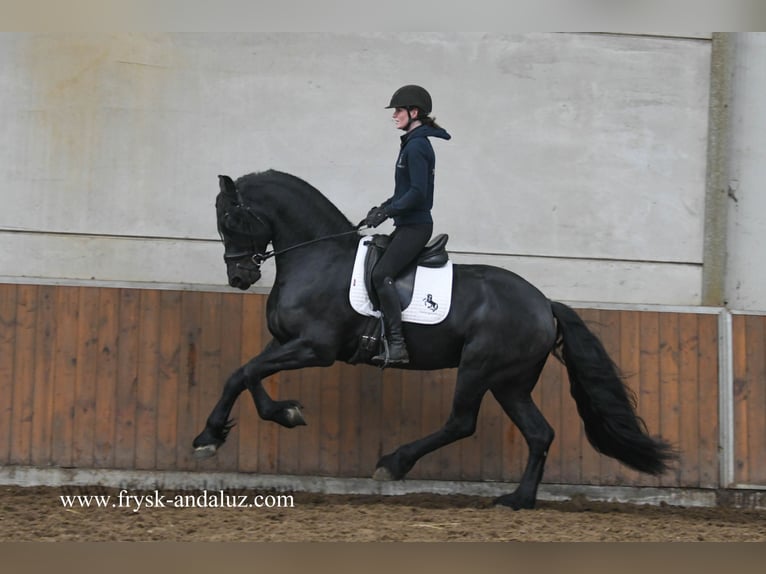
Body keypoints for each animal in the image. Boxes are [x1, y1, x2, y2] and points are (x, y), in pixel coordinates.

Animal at [192, 169, 677, 510]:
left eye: (231, 219)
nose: (240, 277)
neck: (317, 257)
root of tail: (544, 304)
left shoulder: (315, 348)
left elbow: (246, 372)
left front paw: (218, 435)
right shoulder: (286, 342)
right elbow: (244, 374)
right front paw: (256, 422)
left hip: (480, 367)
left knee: (461, 422)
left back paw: (393, 464)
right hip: (511, 382)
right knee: (539, 433)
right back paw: (518, 500)